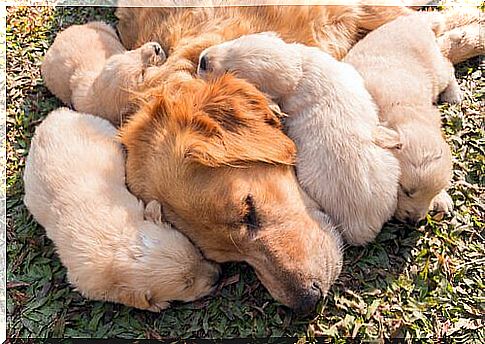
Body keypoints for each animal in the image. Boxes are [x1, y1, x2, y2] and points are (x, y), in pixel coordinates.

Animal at [23, 108, 219, 312]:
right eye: (187, 284)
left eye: (196, 252)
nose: (218, 276)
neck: (119, 244)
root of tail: (54, 115)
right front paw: (157, 304)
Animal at [342, 11, 460, 223]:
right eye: (406, 190)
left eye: (431, 194)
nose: (414, 221)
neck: (403, 111)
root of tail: (419, 20)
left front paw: (442, 198)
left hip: (436, 69)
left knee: (448, 66)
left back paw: (453, 95)